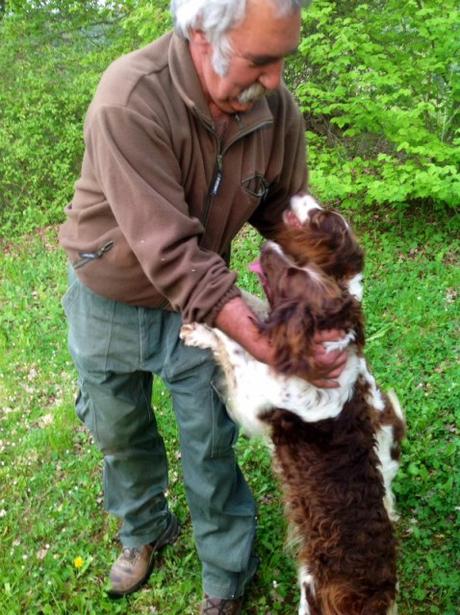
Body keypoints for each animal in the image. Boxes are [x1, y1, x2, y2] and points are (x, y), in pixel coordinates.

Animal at [181, 195, 404, 612]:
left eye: (293, 277)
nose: (268, 246)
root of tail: (377, 595)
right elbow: (246, 315)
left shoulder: (254, 399)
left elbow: (235, 346)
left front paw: (201, 329)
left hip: (311, 598)